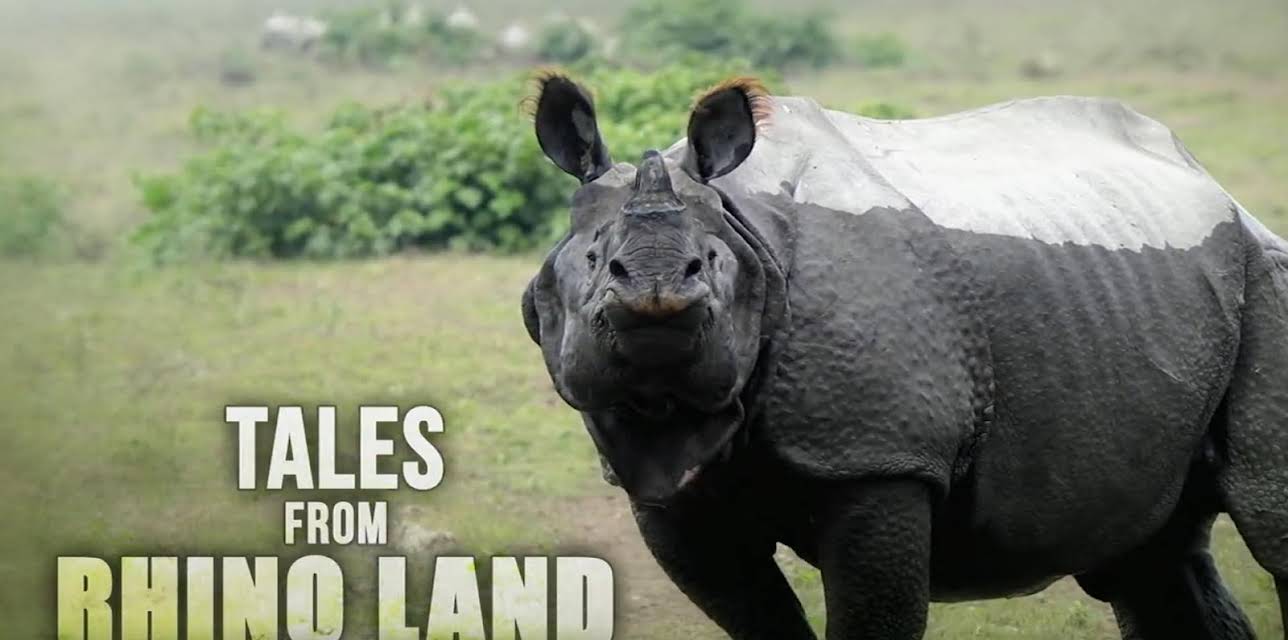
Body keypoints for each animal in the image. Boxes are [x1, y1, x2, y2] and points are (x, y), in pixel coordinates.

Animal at [520, 73, 1288, 639]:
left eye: (709, 261)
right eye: (593, 259)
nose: (656, 291)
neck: (747, 226)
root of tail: (1221, 190)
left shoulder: (882, 457)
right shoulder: (668, 490)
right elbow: (756, 618)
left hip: (1266, 272)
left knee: (1265, 524)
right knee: (1148, 559)